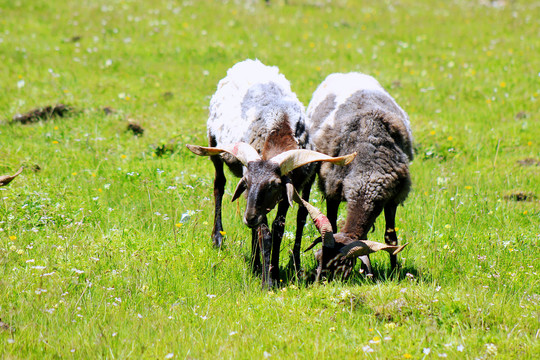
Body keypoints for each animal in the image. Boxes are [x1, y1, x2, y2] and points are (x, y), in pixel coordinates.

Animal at [188, 59, 356, 290]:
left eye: (274, 184)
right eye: (247, 182)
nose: (248, 217)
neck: (279, 126)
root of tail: (248, 61)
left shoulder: (289, 189)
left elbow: (279, 228)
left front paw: (274, 271)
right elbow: (265, 233)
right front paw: (267, 282)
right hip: (214, 144)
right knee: (219, 186)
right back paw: (219, 239)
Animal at [304, 72, 414, 276]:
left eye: (342, 268)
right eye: (317, 258)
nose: (318, 282)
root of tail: (347, 73)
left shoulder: (392, 198)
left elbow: (391, 239)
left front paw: (394, 272)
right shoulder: (332, 189)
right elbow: (332, 222)